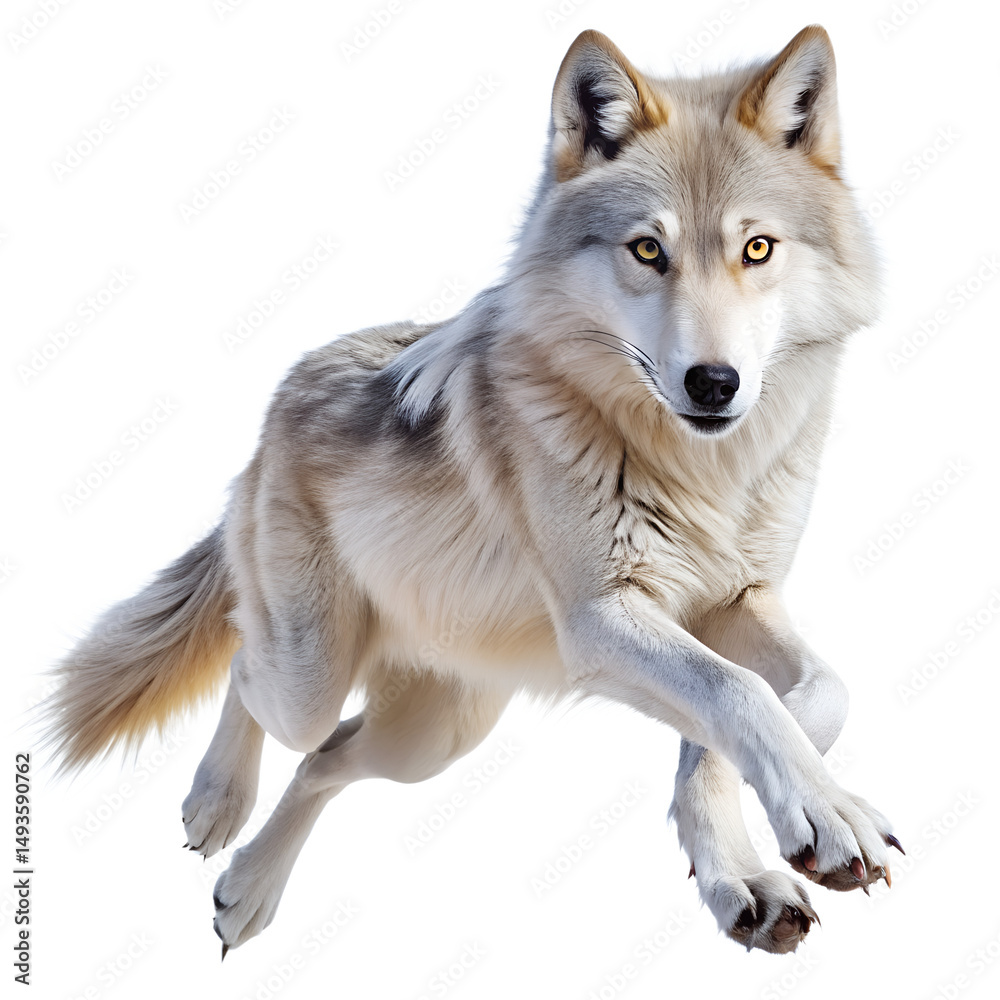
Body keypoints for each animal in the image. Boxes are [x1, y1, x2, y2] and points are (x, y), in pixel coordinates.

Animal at [42, 25, 902, 956]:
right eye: (647, 250)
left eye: (758, 248)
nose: (714, 383)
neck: (702, 471)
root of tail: (285, 392)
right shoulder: (601, 616)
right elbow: (738, 692)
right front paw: (824, 815)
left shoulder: (738, 598)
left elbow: (800, 699)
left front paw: (743, 863)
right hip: (314, 676)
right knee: (249, 669)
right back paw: (215, 803)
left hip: (435, 737)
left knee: (324, 759)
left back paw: (249, 891)